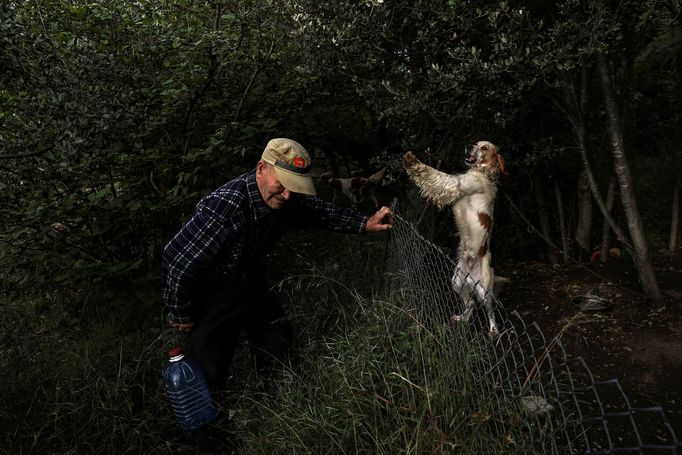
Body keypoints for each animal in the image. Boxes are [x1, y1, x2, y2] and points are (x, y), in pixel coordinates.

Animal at [404, 142, 504, 338]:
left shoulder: (455, 184)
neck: (483, 172)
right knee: (470, 304)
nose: (470, 145)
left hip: (484, 290)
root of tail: (471, 273)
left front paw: (413, 162)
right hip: (457, 282)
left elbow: (433, 173)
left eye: (485, 148)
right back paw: (461, 319)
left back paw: (493, 330)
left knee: (489, 310)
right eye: (476, 143)